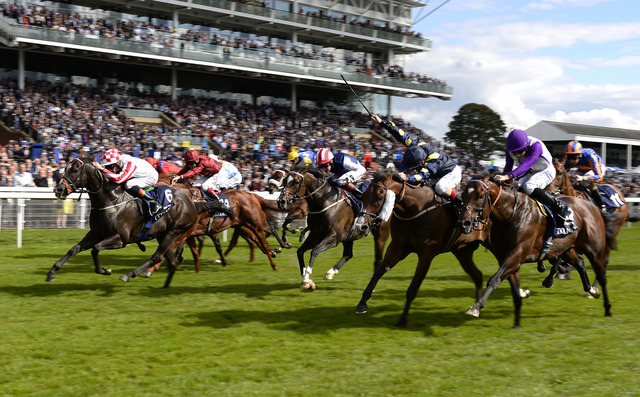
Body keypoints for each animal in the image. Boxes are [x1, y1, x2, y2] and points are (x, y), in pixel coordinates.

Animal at [48, 152, 231, 284]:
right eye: (66, 168)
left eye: (74, 170)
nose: (58, 190)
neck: (112, 200)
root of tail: (193, 203)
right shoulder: (96, 233)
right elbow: (74, 249)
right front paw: (52, 272)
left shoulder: (121, 238)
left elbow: (96, 249)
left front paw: (104, 270)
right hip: (163, 234)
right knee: (170, 260)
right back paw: (164, 283)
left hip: (174, 231)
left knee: (158, 256)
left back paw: (129, 274)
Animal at [458, 172, 612, 324]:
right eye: (463, 195)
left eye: (480, 195)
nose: (464, 223)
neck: (511, 214)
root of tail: (592, 206)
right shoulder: (506, 256)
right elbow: (507, 280)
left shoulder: (517, 253)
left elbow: (494, 279)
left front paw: (476, 307)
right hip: (566, 248)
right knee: (580, 263)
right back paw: (592, 290)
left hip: (594, 250)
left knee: (602, 274)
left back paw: (607, 308)